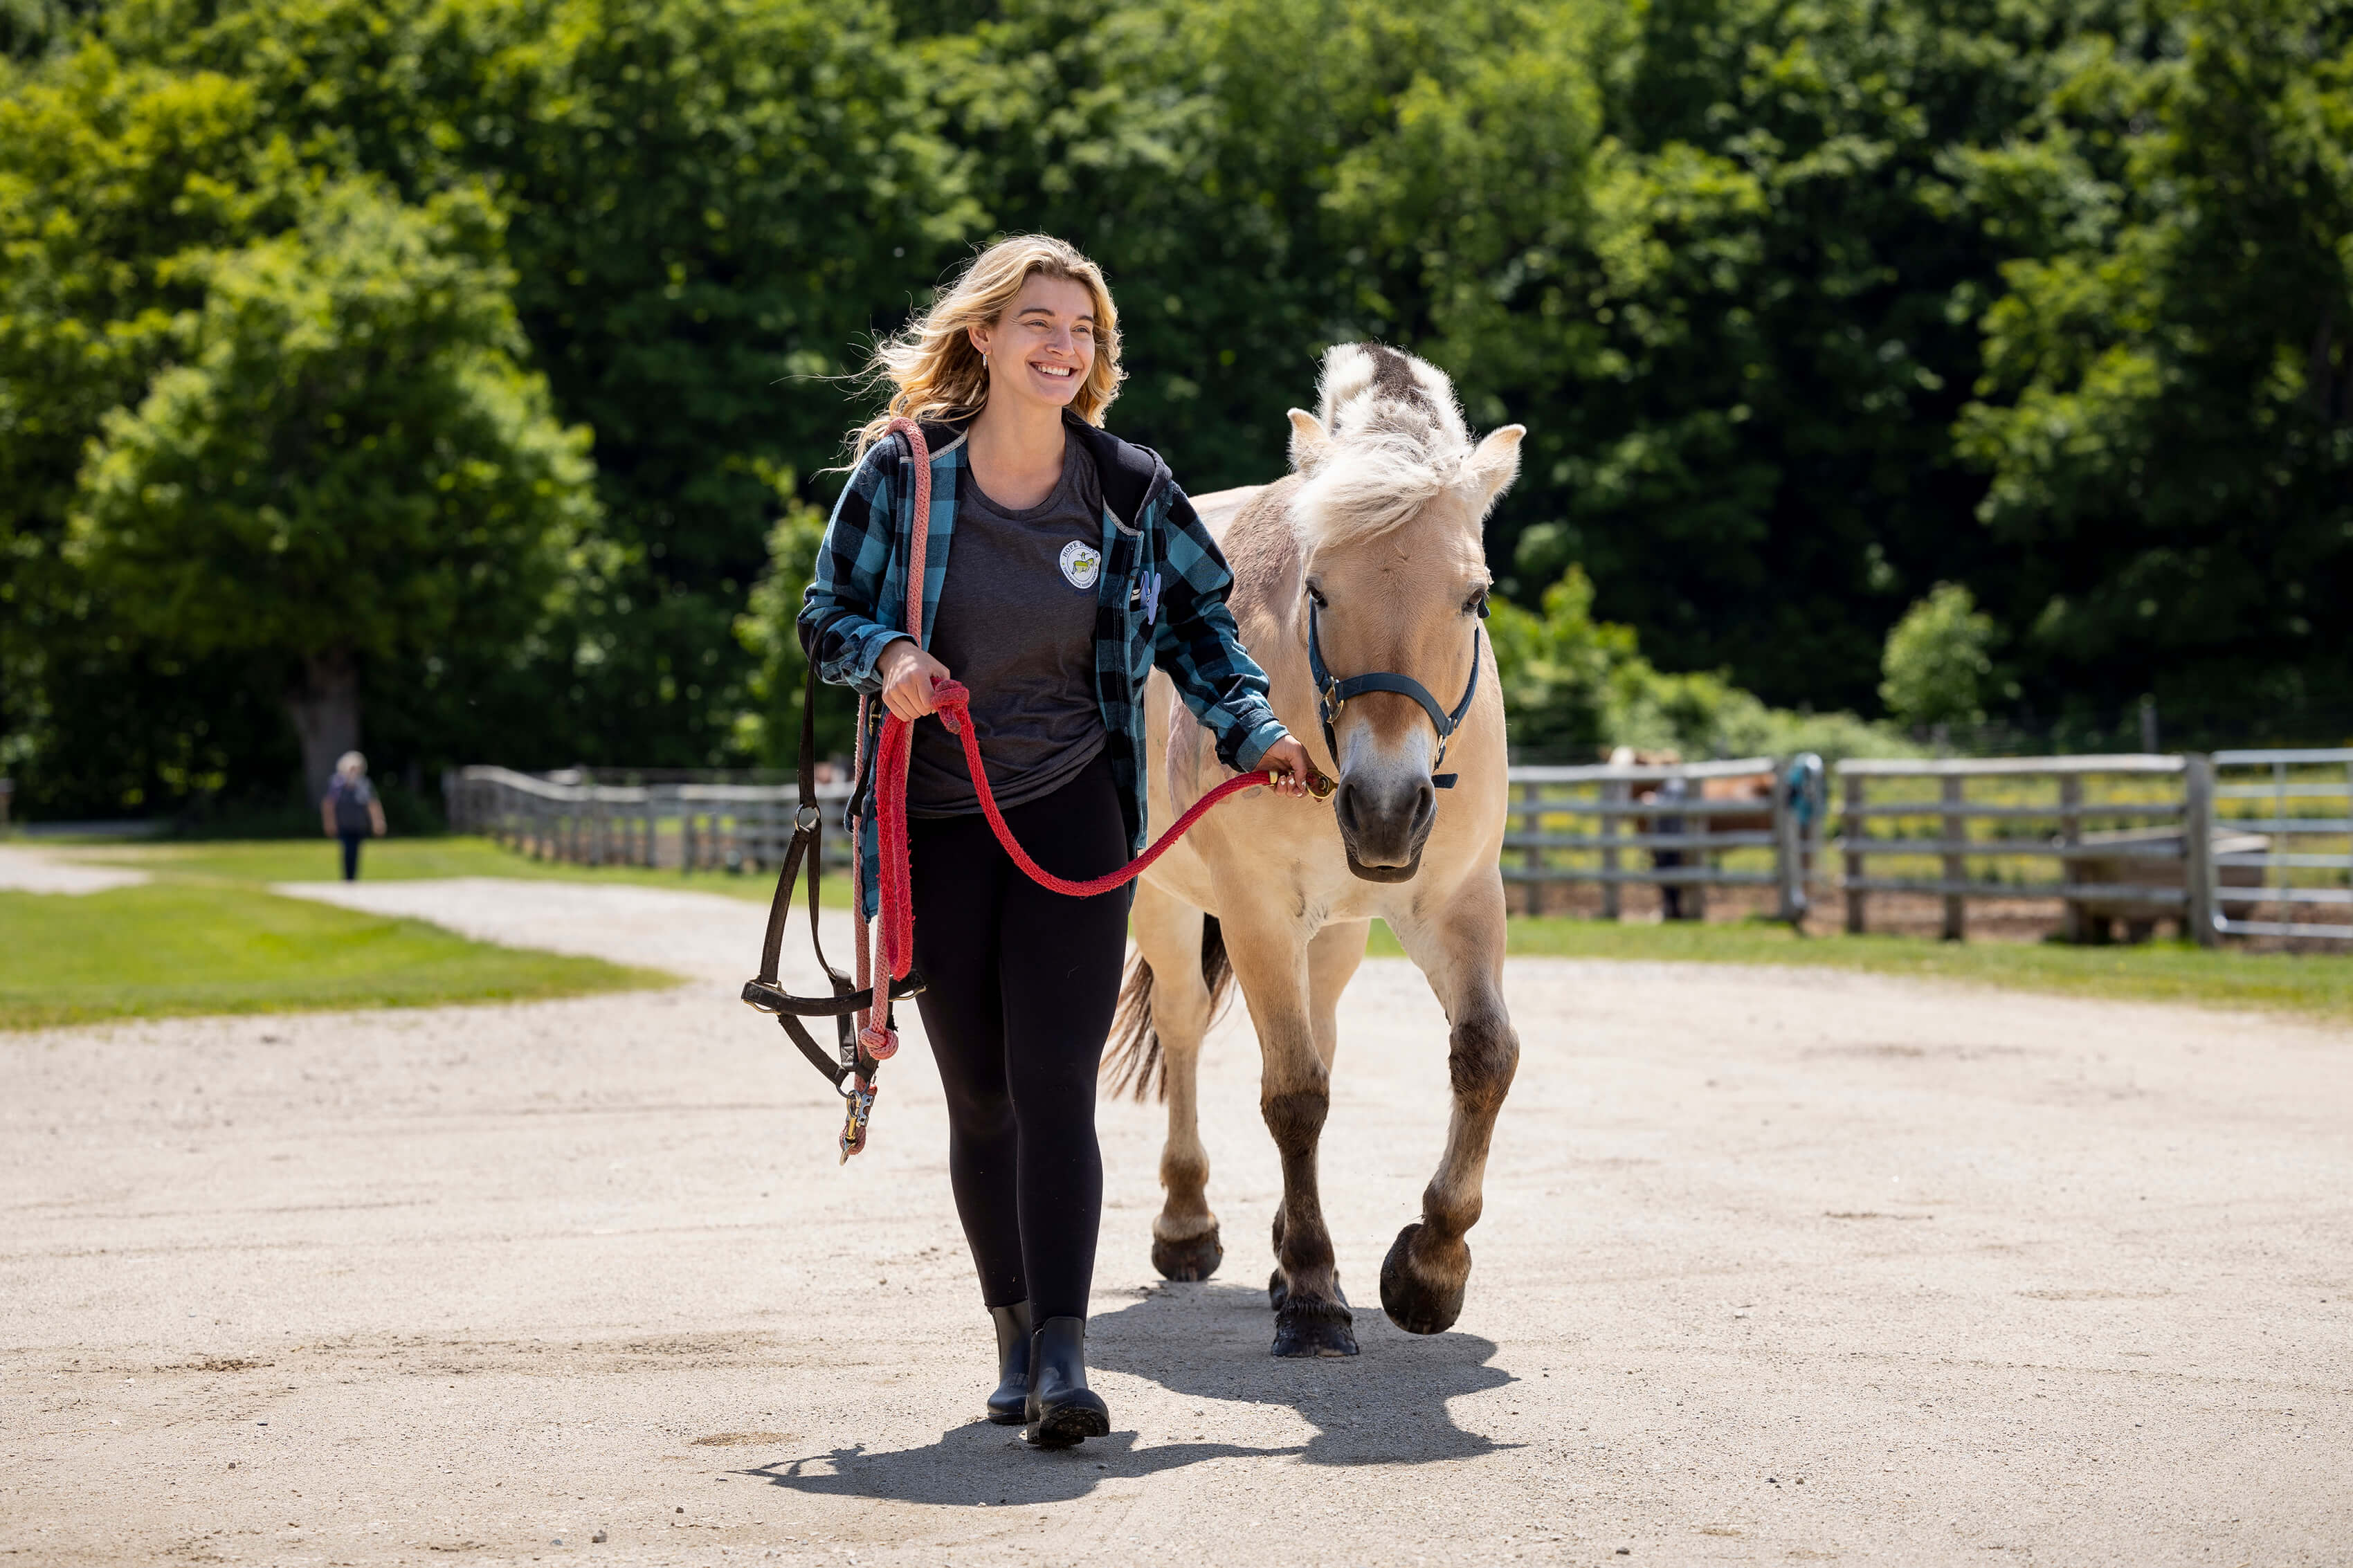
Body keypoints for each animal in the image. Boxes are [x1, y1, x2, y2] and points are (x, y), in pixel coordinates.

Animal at [1106, 346, 1525, 1356]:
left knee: (1321, 1024)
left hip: (1333, 933)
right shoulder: (1256, 911)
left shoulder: (1458, 899)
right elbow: (1293, 1093)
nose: (1387, 809)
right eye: (1320, 590)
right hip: (1169, 906)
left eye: (1475, 595)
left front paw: (1429, 1268)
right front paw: (1309, 1291)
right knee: (1185, 1025)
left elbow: (1485, 1055)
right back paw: (1190, 1224)